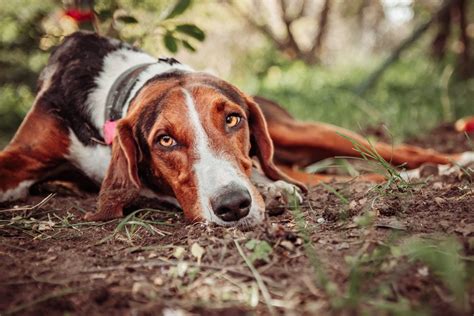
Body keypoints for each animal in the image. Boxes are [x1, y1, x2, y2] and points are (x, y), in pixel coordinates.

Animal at [0, 31, 472, 227]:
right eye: (164, 140)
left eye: (232, 119)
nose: (234, 206)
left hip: (302, 131)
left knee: (394, 152)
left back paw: (453, 162)